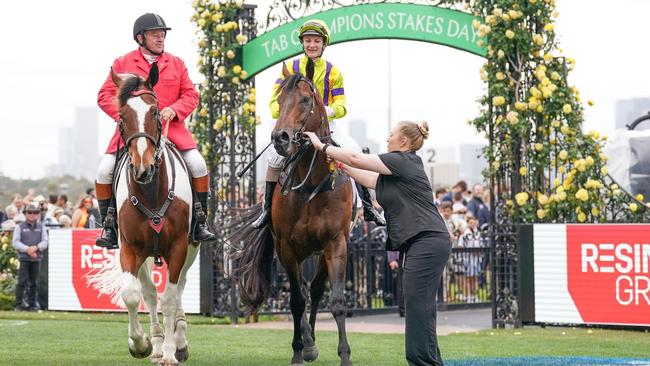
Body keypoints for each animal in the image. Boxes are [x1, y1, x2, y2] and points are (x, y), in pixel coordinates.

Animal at [88, 63, 197, 366]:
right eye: (122, 117)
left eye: (155, 112)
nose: (143, 168)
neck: (151, 190)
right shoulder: (129, 247)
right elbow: (132, 295)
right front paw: (141, 344)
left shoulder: (179, 246)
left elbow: (170, 298)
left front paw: (171, 352)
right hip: (146, 254)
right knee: (149, 293)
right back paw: (157, 343)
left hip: (191, 249)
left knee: (179, 288)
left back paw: (178, 341)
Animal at [225, 70, 352, 364]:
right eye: (279, 100)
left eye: (305, 99)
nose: (280, 138)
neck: (311, 185)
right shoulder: (287, 247)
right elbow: (295, 301)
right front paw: (299, 350)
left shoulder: (336, 243)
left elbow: (336, 300)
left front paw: (344, 355)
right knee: (302, 292)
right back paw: (308, 344)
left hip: (320, 252)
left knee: (315, 289)